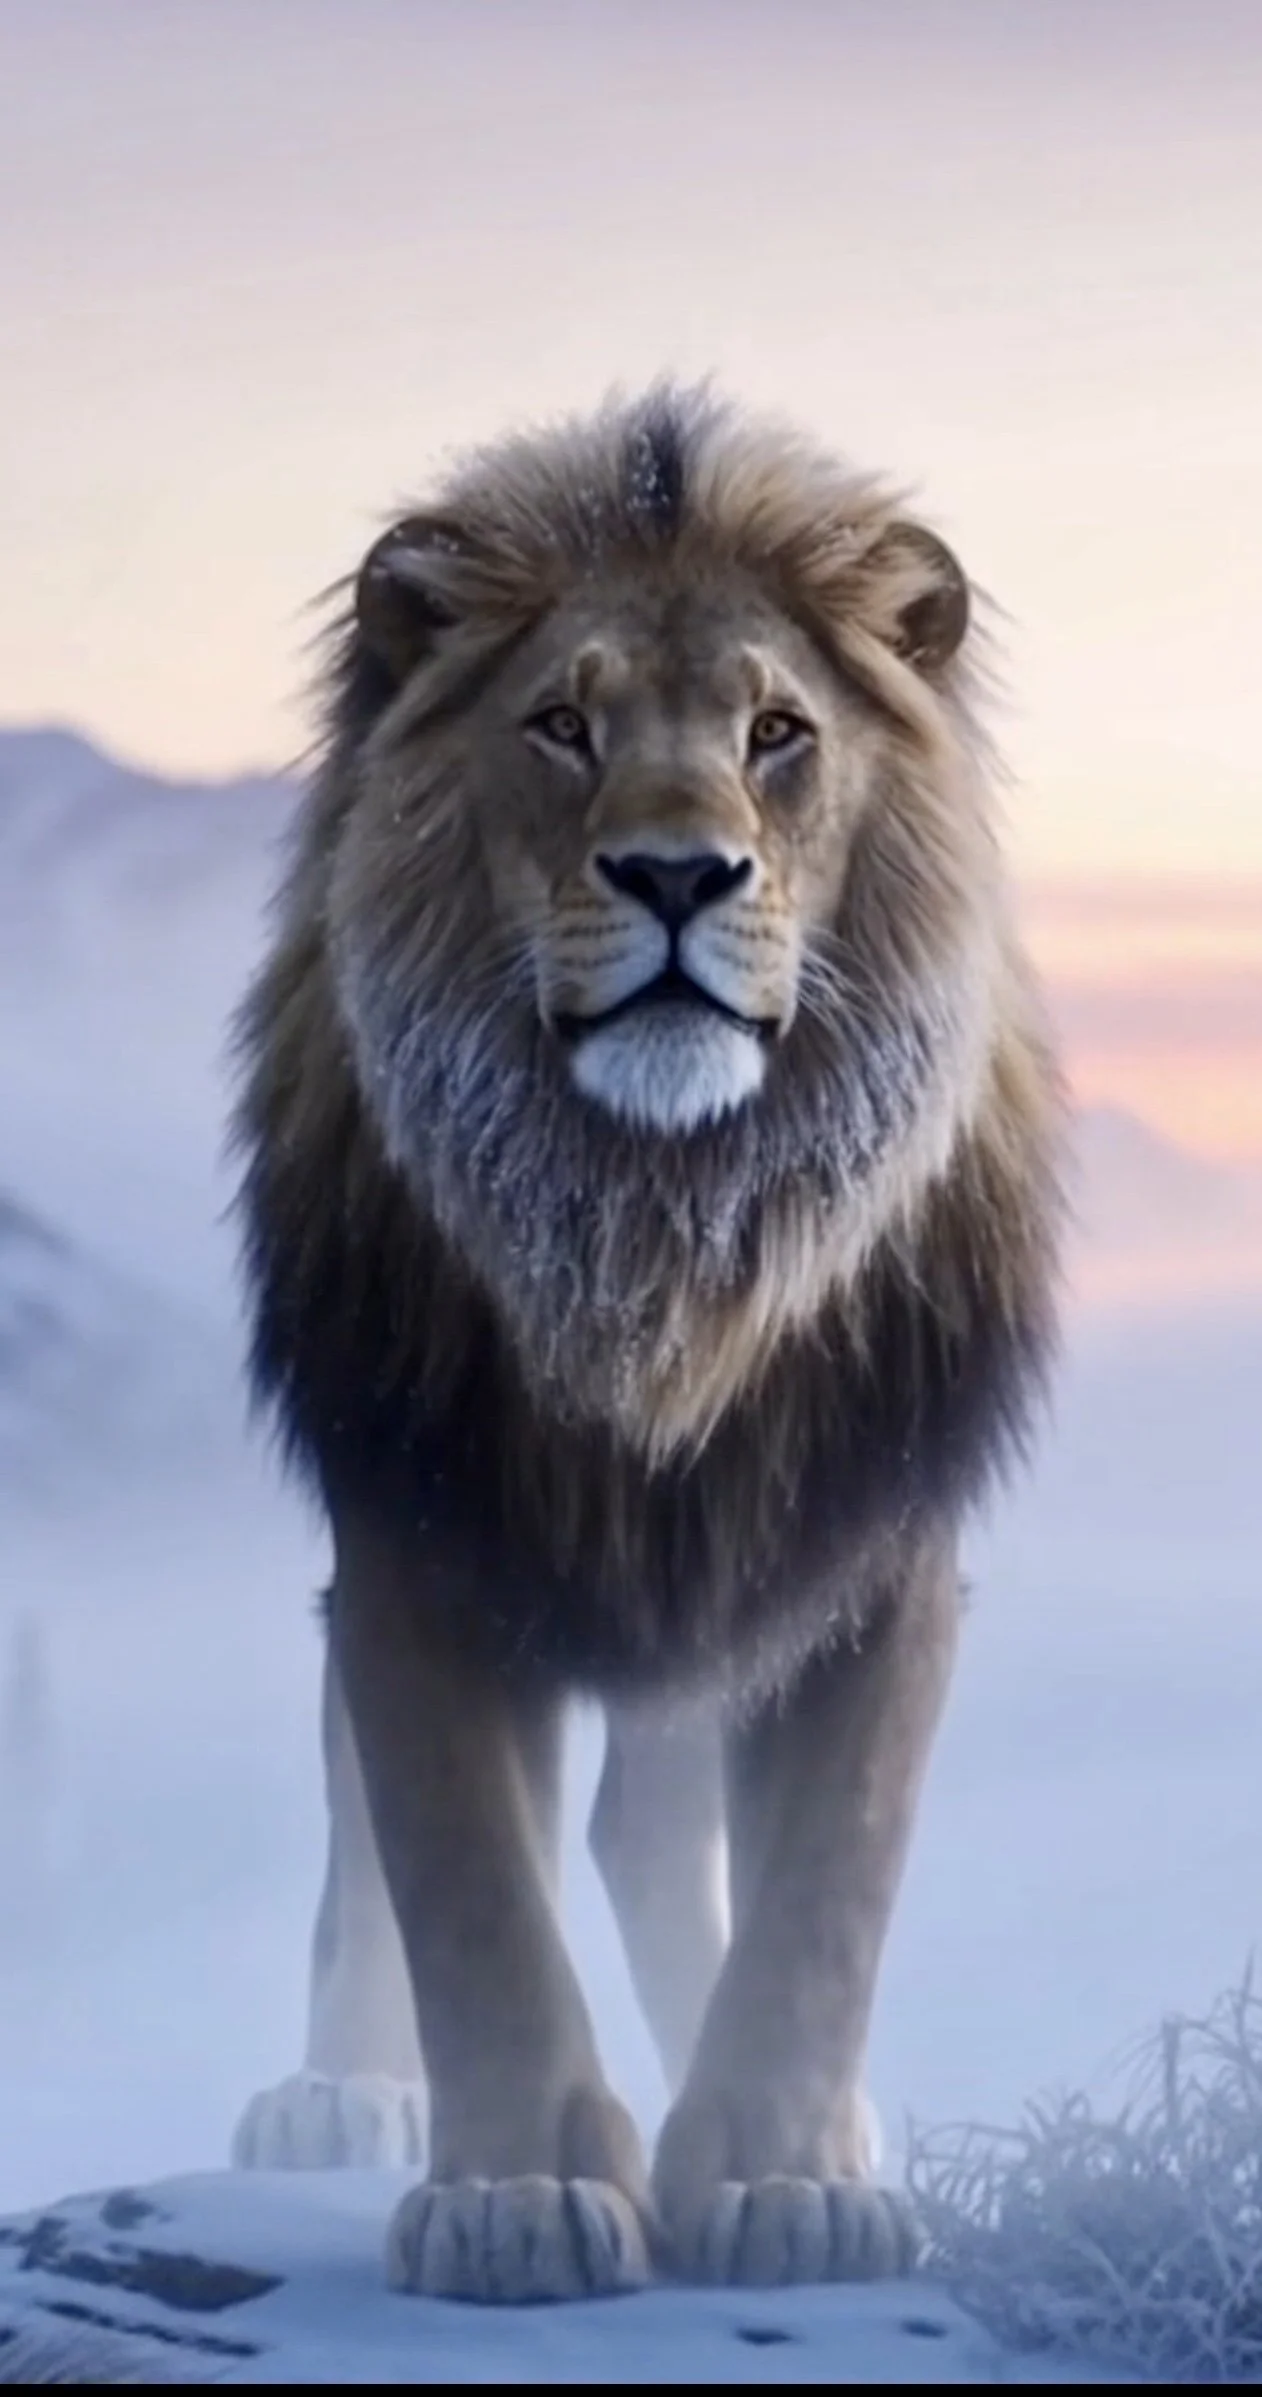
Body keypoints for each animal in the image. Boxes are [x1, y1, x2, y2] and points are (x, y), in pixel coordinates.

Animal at [230, 382, 1064, 2303]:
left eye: (775, 733)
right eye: (560, 725)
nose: (679, 872)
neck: (656, 1232)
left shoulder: (869, 1533)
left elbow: (827, 1885)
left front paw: (782, 2178)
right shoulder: (417, 1518)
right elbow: (460, 1875)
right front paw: (519, 2194)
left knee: (657, 1825)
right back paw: (336, 2094)